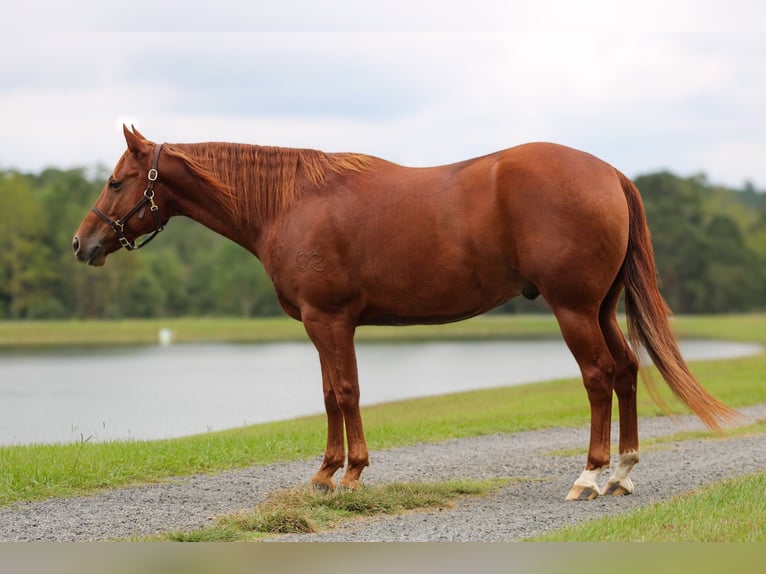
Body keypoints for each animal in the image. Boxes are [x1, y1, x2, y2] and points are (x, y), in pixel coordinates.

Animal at [73, 126, 736, 500]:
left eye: (116, 181)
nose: (83, 244)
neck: (291, 202)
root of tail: (610, 173)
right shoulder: (321, 325)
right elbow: (329, 395)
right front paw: (324, 474)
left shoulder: (328, 320)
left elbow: (345, 392)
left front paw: (351, 474)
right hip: (598, 308)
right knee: (625, 373)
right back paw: (622, 473)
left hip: (573, 309)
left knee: (599, 378)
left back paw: (590, 477)